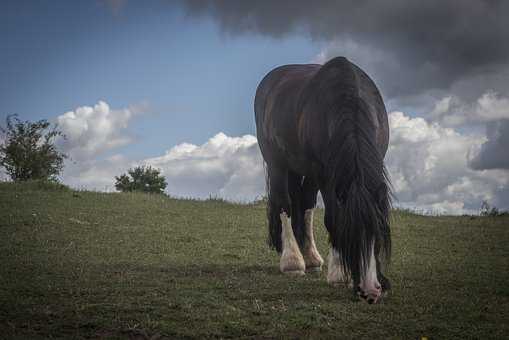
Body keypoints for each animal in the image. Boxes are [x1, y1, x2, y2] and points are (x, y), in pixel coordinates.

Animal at [254, 57, 392, 304]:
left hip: (303, 171)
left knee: (304, 204)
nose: (370, 292)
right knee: (284, 204)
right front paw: (339, 275)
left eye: (379, 232)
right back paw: (293, 262)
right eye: (351, 233)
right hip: (278, 163)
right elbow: (333, 219)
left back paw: (310, 259)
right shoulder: (326, 176)